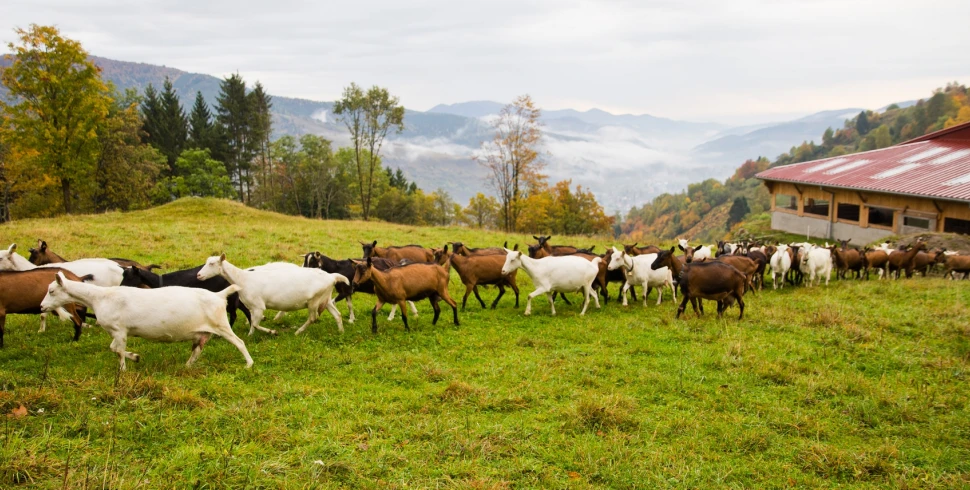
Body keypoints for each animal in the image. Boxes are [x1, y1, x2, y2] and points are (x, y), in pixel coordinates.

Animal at [39, 270, 251, 370]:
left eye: (52, 291)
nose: (41, 307)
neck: (100, 297)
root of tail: (219, 295)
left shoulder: (120, 330)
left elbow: (118, 351)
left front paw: (123, 370)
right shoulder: (116, 332)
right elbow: (113, 348)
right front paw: (135, 357)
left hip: (221, 325)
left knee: (239, 342)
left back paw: (249, 364)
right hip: (203, 332)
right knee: (197, 349)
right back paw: (187, 366)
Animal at [196, 255, 348, 334]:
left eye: (212, 263)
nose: (199, 275)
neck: (243, 279)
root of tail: (332, 277)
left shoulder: (258, 307)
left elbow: (255, 324)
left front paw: (271, 332)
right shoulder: (253, 308)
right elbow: (252, 323)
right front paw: (250, 336)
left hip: (314, 302)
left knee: (312, 318)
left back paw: (298, 332)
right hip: (325, 299)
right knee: (337, 315)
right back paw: (341, 332)